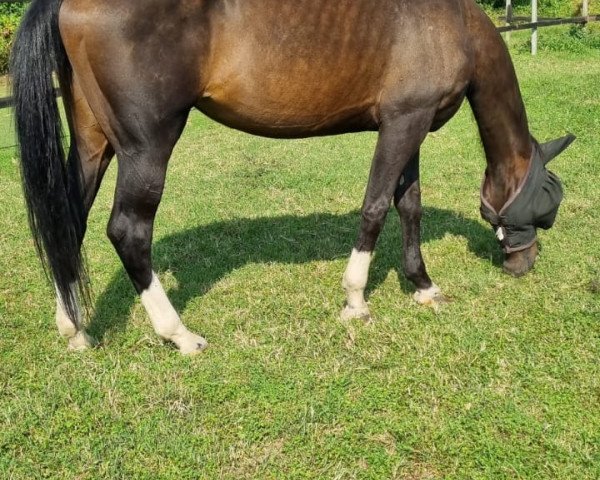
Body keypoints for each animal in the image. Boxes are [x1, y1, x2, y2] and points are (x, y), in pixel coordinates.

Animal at [9, 0, 572, 352]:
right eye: (549, 202)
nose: (524, 264)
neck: (452, 22)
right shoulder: (403, 124)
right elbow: (374, 207)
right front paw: (355, 300)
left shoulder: (409, 122)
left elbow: (407, 205)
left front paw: (422, 285)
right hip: (146, 146)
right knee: (127, 231)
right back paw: (179, 335)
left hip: (93, 142)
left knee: (67, 223)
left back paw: (74, 329)